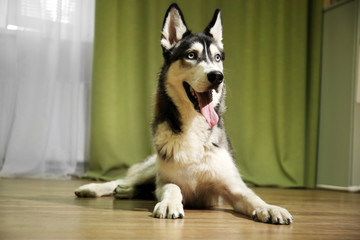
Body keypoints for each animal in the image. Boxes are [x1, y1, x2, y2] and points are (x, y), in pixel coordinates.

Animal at [75, 3, 292, 225]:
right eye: (191, 55)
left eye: (217, 58)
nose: (217, 76)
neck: (194, 127)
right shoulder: (165, 181)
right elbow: (173, 187)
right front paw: (170, 204)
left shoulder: (232, 186)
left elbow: (252, 196)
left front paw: (269, 208)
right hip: (151, 168)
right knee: (126, 179)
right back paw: (94, 188)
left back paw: (127, 190)